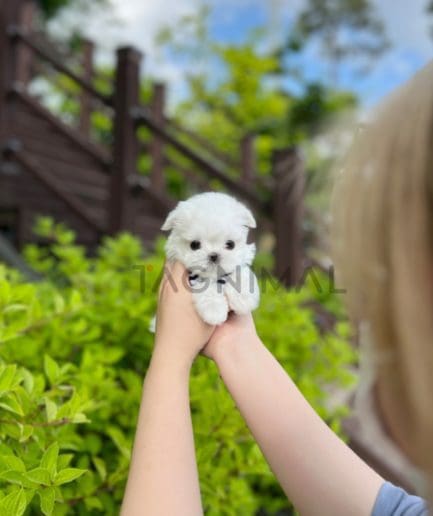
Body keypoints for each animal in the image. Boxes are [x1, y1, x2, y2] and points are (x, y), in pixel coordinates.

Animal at [160, 191, 258, 324]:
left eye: (230, 244)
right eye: (194, 245)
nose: (214, 255)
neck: (215, 277)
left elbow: (241, 274)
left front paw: (244, 299)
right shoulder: (194, 279)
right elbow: (207, 290)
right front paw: (214, 311)